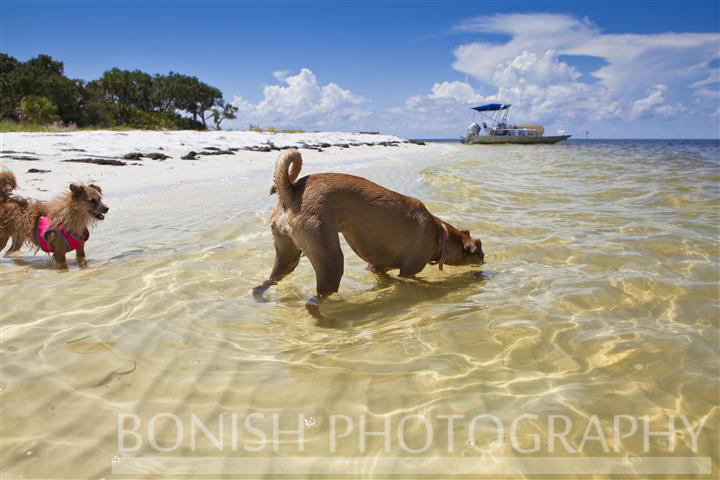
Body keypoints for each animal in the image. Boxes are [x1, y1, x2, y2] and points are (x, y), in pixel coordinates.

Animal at [256, 150, 486, 300]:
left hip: (287, 257)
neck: (439, 233)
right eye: (479, 250)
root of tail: (292, 190)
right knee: (316, 298)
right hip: (330, 261)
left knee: (266, 282)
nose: (485, 259)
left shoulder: (377, 267)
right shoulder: (409, 271)